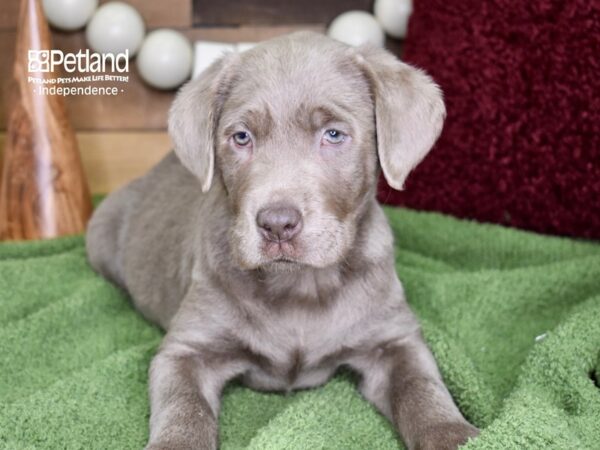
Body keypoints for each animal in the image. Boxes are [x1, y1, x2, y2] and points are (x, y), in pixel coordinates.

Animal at [85, 32, 478, 450]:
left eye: (333, 135)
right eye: (241, 137)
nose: (276, 224)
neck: (300, 286)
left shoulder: (393, 339)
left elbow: (422, 388)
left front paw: (455, 435)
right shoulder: (186, 349)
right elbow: (184, 405)